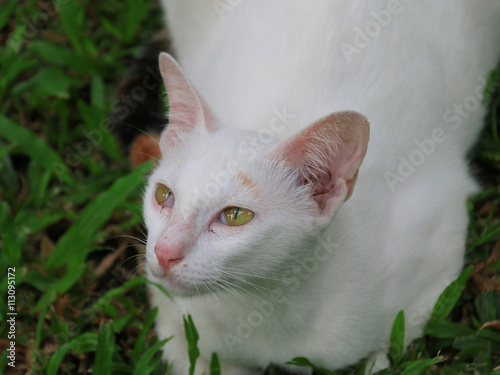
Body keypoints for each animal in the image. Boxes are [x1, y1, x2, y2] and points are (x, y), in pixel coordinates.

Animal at [143, 1, 500, 374]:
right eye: (164, 195)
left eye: (236, 215)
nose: (164, 252)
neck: (263, 309)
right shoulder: (170, 318)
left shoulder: (437, 252)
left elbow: (386, 353)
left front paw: (376, 359)